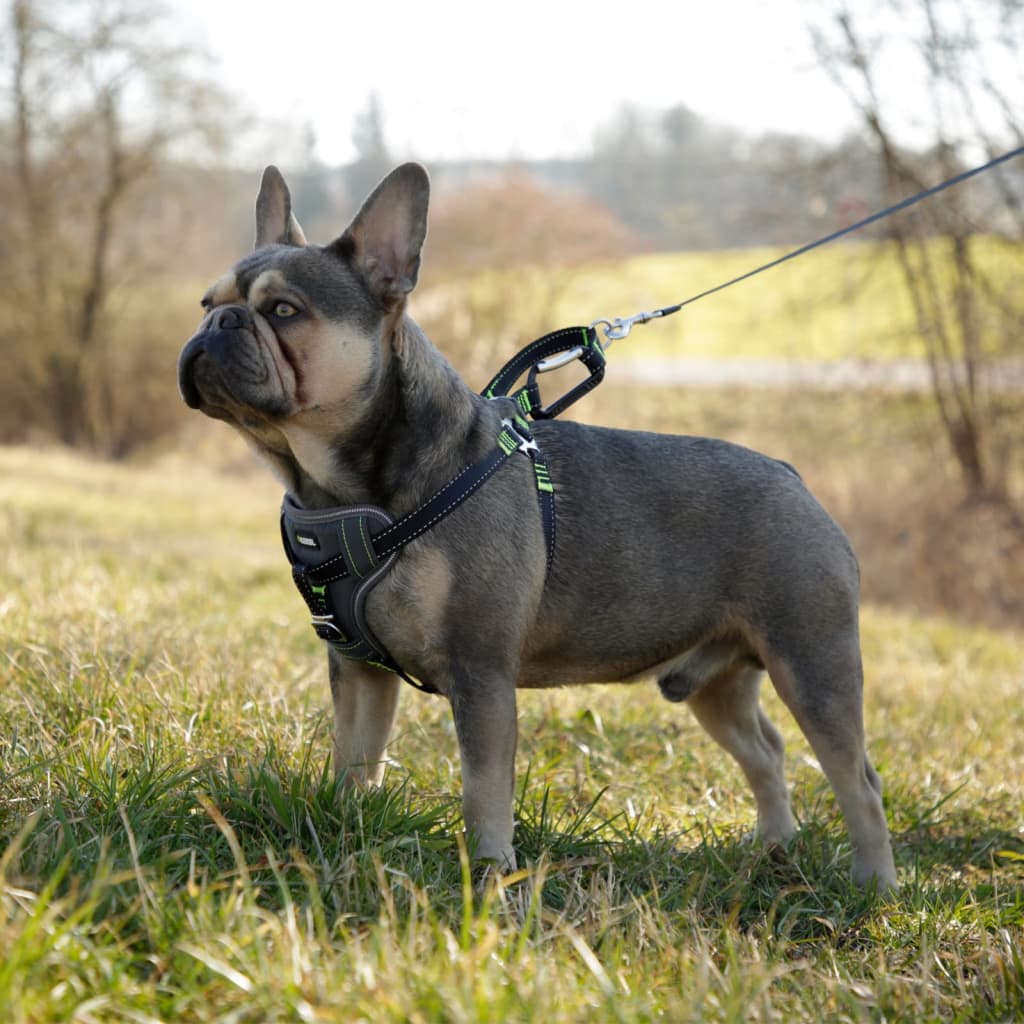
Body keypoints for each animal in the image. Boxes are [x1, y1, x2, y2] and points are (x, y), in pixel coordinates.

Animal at [180, 159, 901, 888]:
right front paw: (344, 827)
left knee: (857, 780)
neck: (336, 488)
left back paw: (872, 887)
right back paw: (775, 848)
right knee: (767, 751)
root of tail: (793, 476)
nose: (219, 324)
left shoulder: (481, 675)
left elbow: (483, 787)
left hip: (812, 663)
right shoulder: (359, 671)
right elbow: (356, 758)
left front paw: (490, 873)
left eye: (284, 311)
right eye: (208, 304)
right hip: (716, 683)